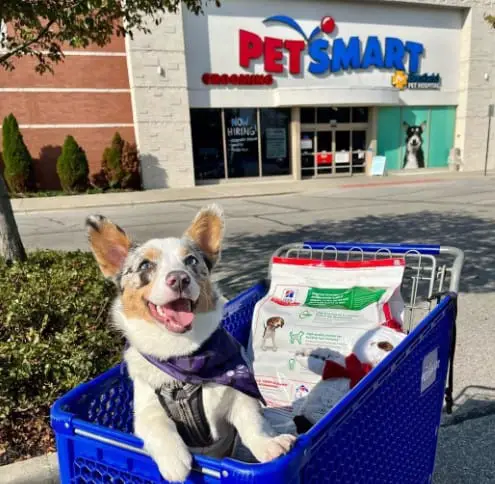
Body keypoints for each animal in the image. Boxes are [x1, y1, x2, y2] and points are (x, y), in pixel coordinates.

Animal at [86, 205, 294, 484]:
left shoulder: (240, 398)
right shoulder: (144, 411)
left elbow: (254, 423)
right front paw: (174, 462)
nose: (179, 279)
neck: (182, 356)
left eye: (191, 261)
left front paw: (270, 445)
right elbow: (158, 426)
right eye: (145, 264)